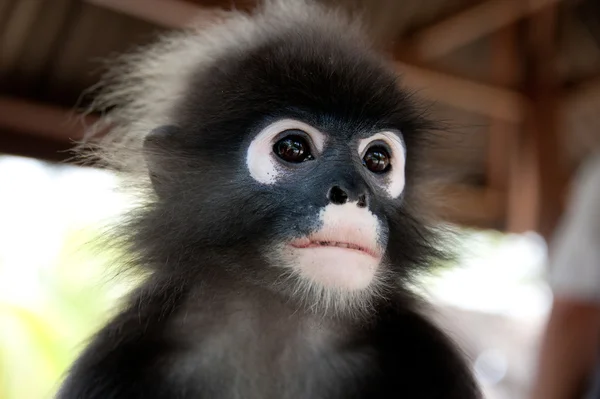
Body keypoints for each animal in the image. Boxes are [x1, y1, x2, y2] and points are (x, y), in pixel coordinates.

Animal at [57, 0, 482, 399]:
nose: (355, 194)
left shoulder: (428, 352)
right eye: (293, 148)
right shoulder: (118, 354)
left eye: (377, 159)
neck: (280, 316)